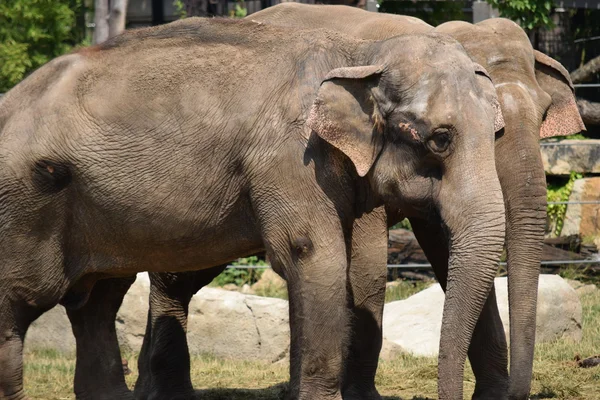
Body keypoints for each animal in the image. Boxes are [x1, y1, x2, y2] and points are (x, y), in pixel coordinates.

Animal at [78, 4, 584, 400]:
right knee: (179, 270)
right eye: (441, 139)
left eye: (543, 115)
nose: (516, 390)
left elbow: (445, 252)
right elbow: (369, 267)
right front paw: (362, 396)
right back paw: (163, 391)